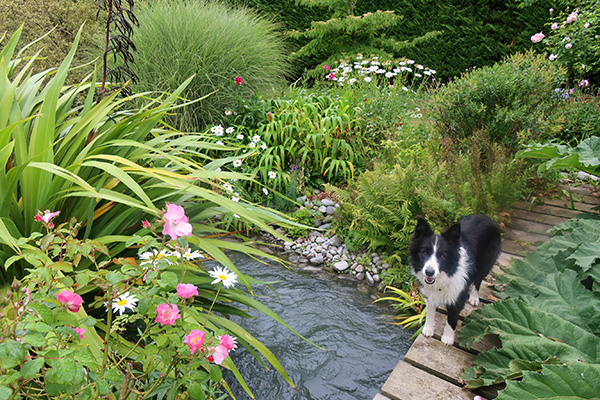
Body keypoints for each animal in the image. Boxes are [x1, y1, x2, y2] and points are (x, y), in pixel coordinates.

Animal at [410, 214, 500, 346]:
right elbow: (430, 313)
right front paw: (428, 329)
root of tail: (487, 217)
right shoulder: (429, 294)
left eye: (443, 256)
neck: (446, 275)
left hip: (485, 264)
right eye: (424, 252)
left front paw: (448, 338)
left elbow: (451, 319)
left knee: (478, 280)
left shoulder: (458, 297)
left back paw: (474, 297)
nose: (429, 272)